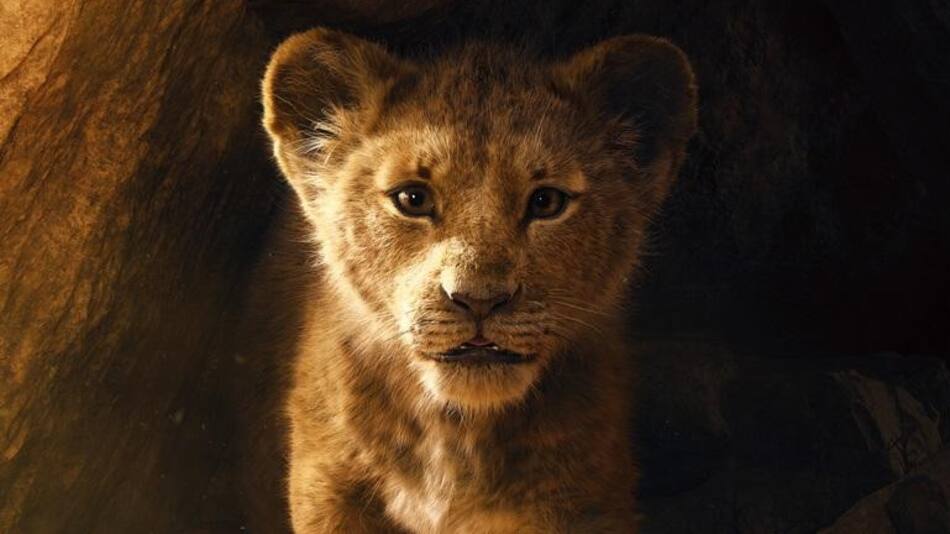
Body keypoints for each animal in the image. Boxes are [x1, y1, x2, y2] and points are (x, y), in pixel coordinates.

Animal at [253, 27, 697, 533]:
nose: (479, 299)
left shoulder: (583, 500)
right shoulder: (329, 489)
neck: (454, 435)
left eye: (546, 202)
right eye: (412, 198)